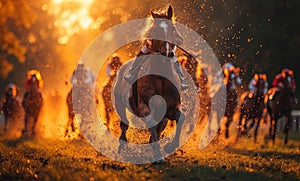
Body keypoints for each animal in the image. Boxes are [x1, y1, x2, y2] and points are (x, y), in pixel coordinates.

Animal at [112, 5, 185, 161]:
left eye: (172, 29)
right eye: (156, 31)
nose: (167, 54)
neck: (161, 76)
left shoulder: (171, 107)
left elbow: (181, 118)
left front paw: (170, 146)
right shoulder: (144, 106)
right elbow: (151, 123)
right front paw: (158, 155)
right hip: (119, 104)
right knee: (124, 125)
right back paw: (122, 147)